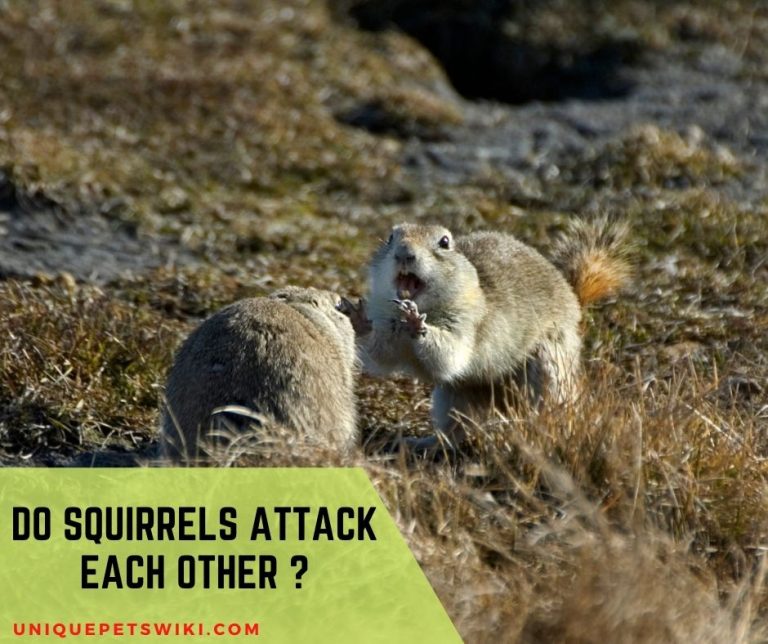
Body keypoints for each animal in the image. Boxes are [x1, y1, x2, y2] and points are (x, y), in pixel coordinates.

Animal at [342, 218, 630, 447]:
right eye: (391, 237)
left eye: (444, 242)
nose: (404, 254)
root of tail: (574, 300)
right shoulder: (386, 324)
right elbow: (380, 355)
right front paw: (357, 320)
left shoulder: (468, 323)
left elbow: (449, 353)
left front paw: (417, 324)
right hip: (452, 397)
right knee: (455, 432)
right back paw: (422, 443)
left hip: (549, 366)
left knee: (554, 403)